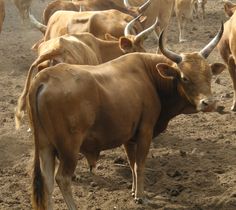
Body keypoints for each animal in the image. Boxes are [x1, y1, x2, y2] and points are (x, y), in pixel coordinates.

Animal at [21, 24, 225, 208]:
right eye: (184, 77)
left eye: (209, 74)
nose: (208, 103)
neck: (149, 77)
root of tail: (45, 78)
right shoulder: (145, 131)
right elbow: (139, 164)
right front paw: (141, 196)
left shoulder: (129, 137)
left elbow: (132, 163)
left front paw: (134, 191)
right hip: (69, 148)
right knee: (62, 178)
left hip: (45, 146)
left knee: (47, 182)